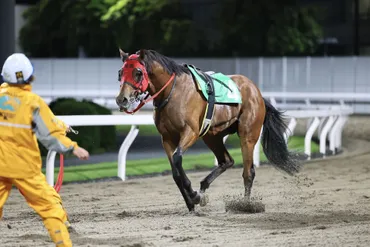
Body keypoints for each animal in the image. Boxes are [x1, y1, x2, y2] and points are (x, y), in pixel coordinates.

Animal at [115, 48, 300, 212]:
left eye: (138, 72)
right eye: (120, 72)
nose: (121, 99)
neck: (172, 92)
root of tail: (258, 93)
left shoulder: (190, 132)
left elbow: (177, 158)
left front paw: (192, 194)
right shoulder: (166, 138)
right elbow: (175, 172)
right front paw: (191, 202)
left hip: (248, 135)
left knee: (248, 172)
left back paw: (245, 205)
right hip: (212, 136)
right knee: (226, 161)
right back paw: (203, 188)